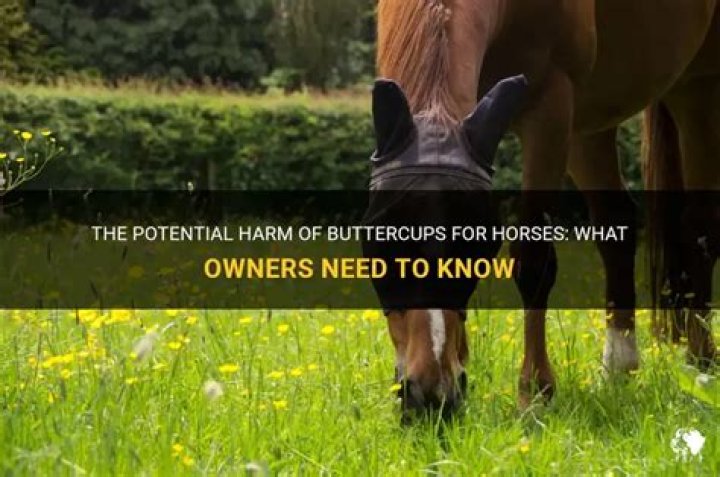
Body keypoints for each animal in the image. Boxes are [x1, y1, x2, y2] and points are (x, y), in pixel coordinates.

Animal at [373, 0, 720, 418]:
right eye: (380, 246)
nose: (430, 396)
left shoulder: (548, 108)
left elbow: (533, 259)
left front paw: (535, 392)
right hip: (589, 121)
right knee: (616, 220)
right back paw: (619, 366)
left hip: (697, 87)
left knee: (699, 225)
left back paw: (700, 363)